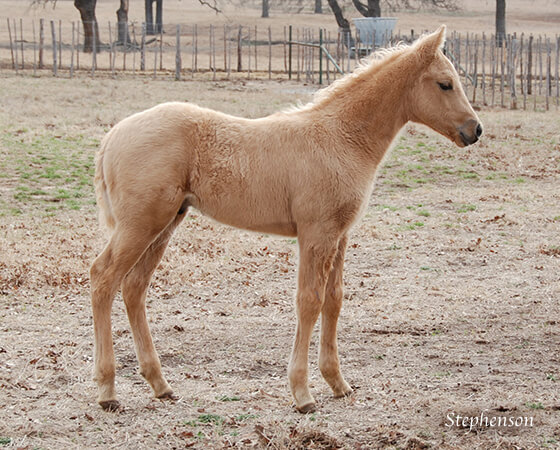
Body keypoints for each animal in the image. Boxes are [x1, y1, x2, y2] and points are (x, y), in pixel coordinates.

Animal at [89, 26, 480, 414]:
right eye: (445, 83)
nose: (474, 130)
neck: (341, 138)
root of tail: (111, 136)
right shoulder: (315, 233)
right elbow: (309, 301)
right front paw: (302, 393)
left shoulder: (339, 235)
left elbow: (334, 299)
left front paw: (338, 383)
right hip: (141, 224)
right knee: (103, 278)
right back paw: (108, 390)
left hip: (165, 223)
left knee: (134, 287)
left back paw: (161, 385)